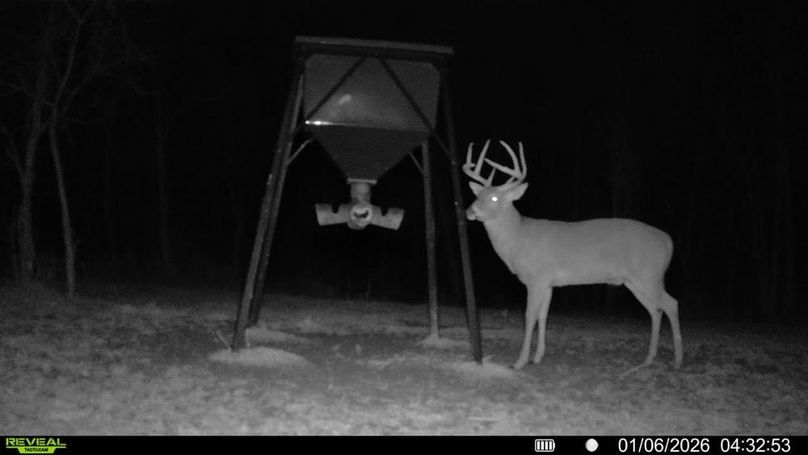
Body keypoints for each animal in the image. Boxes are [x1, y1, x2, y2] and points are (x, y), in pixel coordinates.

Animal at [463, 140, 683, 372]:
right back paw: (648, 359)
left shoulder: (537, 277)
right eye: (477, 195)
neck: (519, 238)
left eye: (494, 197)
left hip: (649, 275)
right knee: (656, 310)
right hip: (635, 281)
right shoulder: (548, 283)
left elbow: (530, 316)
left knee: (671, 304)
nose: (470, 211)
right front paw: (537, 357)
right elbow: (543, 316)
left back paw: (677, 361)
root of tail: (668, 241)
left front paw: (519, 362)